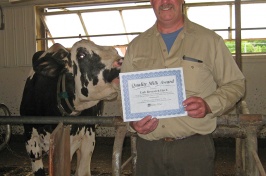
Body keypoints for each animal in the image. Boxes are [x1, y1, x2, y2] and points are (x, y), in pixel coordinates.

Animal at [20, 40, 123, 176]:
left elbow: (83, 171)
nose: (121, 61)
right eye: (81, 55)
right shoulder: (30, 141)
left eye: (115, 51)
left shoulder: (87, 138)